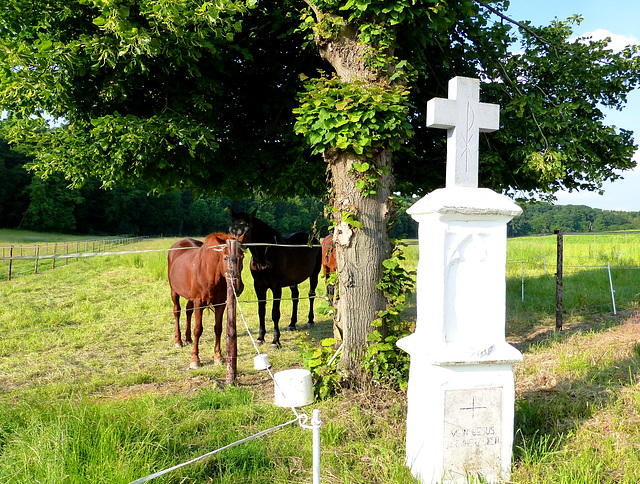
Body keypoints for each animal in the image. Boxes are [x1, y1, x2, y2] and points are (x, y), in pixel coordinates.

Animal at [166, 233, 244, 368]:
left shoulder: (220, 304)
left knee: (188, 311)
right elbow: (198, 329)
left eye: (242, 257)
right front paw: (195, 359)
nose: (238, 286)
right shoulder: (199, 303)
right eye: (225, 258)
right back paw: (178, 341)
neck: (209, 272)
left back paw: (188, 339)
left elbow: (218, 328)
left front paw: (218, 357)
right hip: (174, 291)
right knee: (177, 312)